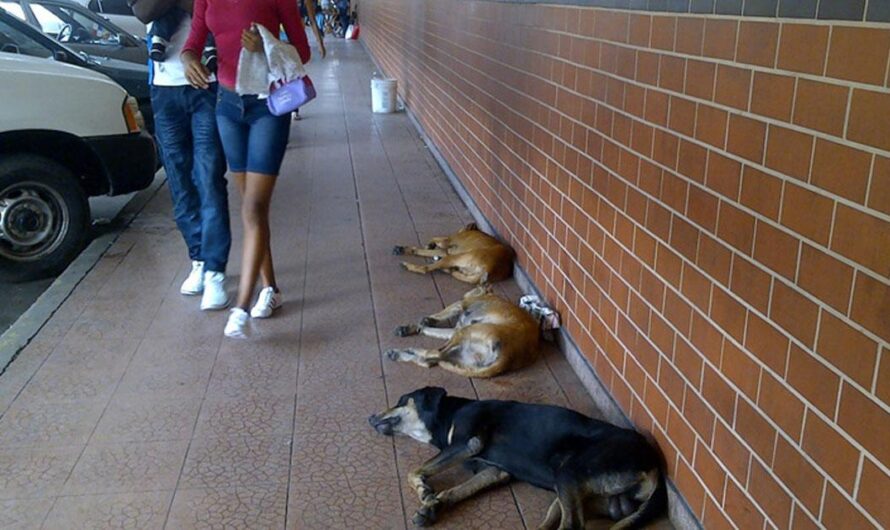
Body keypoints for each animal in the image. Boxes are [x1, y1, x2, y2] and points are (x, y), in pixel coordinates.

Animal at [364, 384, 664, 528]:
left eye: (401, 400)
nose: (370, 416)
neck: (447, 415)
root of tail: (654, 465)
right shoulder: (494, 470)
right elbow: (456, 491)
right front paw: (433, 505)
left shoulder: (468, 443)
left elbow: (414, 470)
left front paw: (424, 491)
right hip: (576, 494)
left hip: (568, 473)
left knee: (572, 526)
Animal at [386, 286, 536, 378]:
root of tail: (507, 358)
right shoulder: (455, 328)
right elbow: (433, 329)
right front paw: (416, 327)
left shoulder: (459, 305)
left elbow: (441, 314)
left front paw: (421, 323)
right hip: (463, 352)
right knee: (430, 359)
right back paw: (398, 354)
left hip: (464, 333)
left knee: (432, 355)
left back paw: (402, 352)